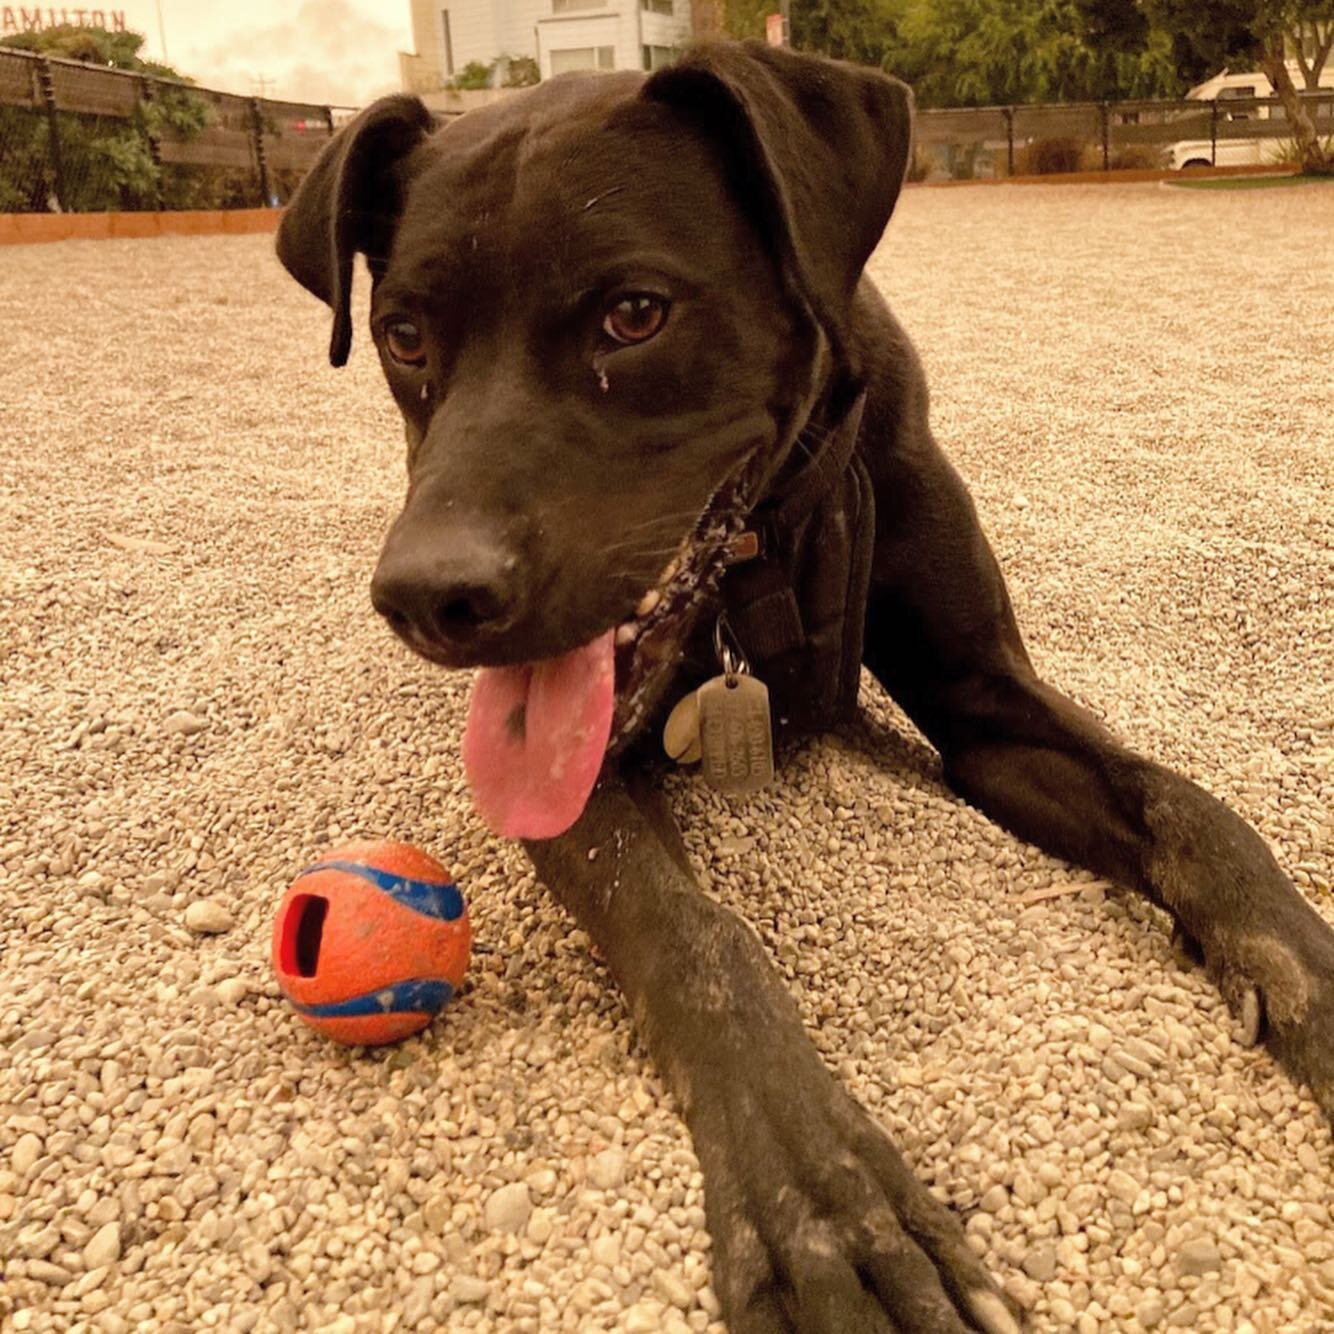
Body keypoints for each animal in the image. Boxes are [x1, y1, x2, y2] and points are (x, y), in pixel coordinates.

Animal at [276, 41, 1328, 1334]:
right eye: (405, 334)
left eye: (634, 313)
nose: (428, 595)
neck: (762, 543)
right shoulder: (577, 780)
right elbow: (703, 942)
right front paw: (829, 1208)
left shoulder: (985, 704)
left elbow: (1195, 811)